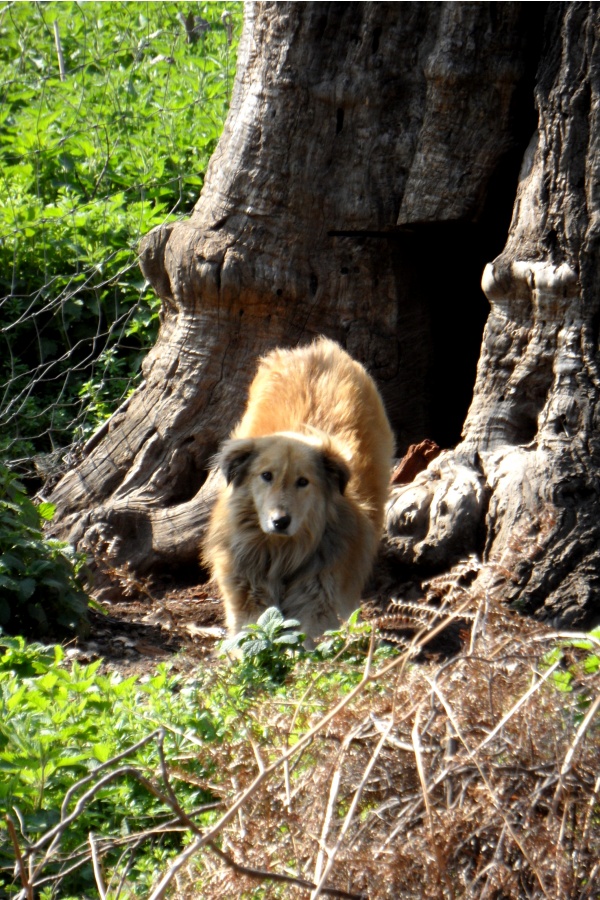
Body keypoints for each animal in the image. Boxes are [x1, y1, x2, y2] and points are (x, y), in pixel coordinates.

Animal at [204, 338, 396, 640]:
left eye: (303, 482)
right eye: (266, 476)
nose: (280, 521)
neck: (284, 553)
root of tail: (318, 348)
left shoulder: (317, 603)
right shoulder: (249, 598)